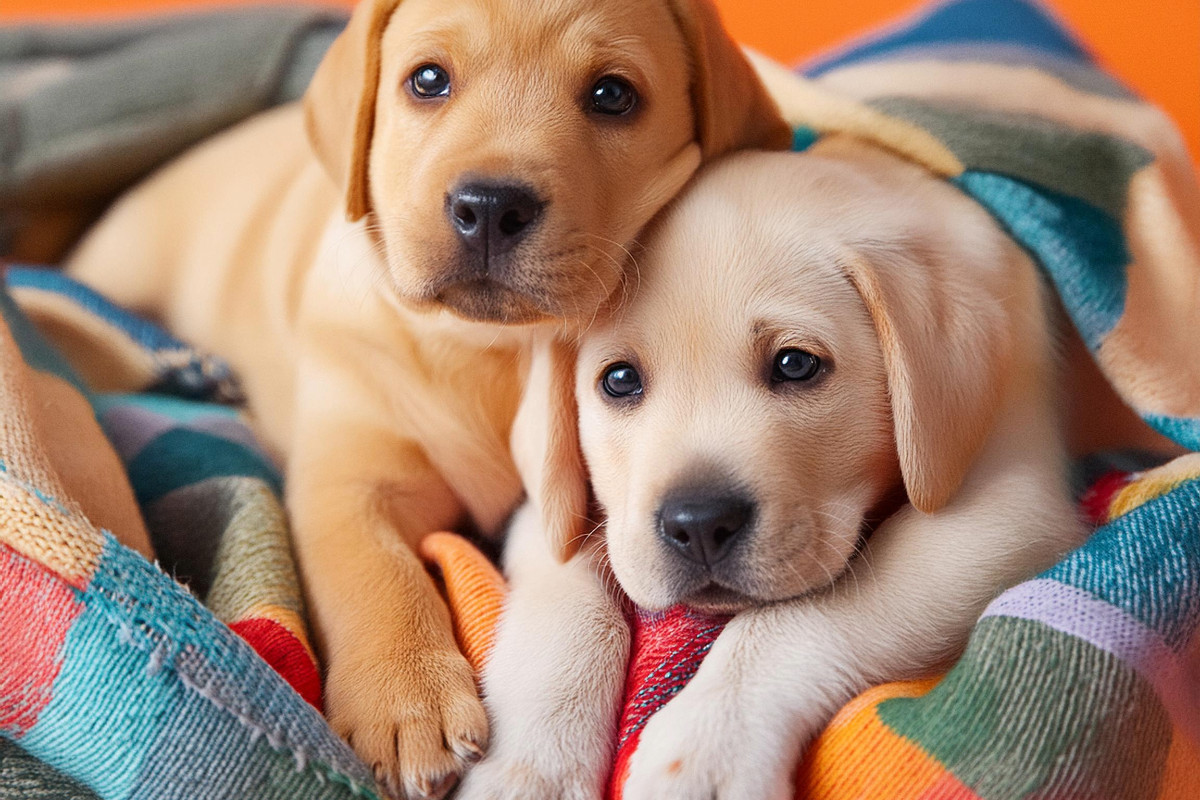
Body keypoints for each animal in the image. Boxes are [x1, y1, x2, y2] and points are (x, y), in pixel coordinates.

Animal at [70, 0, 792, 796]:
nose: (490, 205)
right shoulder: (348, 475)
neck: (491, 351)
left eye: (613, 94)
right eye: (427, 80)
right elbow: (375, 570)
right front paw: (405, 700)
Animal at [465, 143, 1089, 800]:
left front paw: (707, 744)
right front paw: (535, 763)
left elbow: (797, 619)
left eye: (795, 364)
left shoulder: (1000, 509)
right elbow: (563, 610)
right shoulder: (555, 516)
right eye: (619, 379)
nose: (699, 523)